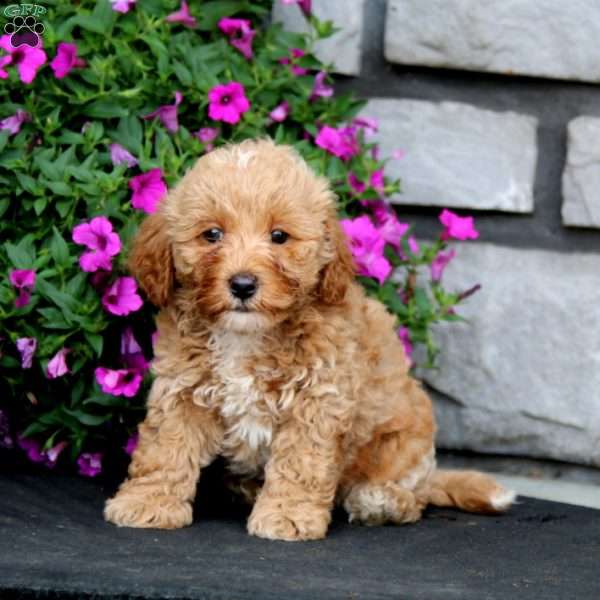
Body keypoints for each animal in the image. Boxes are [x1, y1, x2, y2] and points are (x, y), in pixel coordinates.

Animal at [104, 139, 516, 540]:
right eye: (212, 234)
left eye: (279, 236)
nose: (242, 284)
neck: (246, 335)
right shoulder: (182, 389)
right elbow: (165, 448)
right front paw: (148, 502)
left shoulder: (318, 398)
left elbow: (301, 462)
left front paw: (287, 515)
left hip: (401, 442)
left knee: (413, 494)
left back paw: (381, 501)